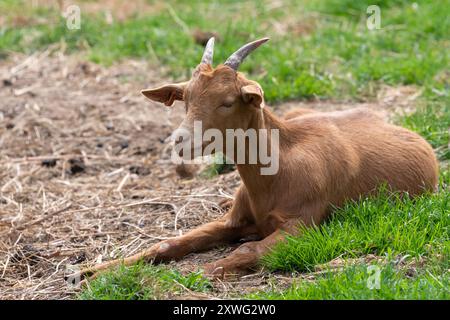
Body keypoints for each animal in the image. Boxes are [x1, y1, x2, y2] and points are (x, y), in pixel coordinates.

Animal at [75, 38, 438, 282]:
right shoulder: (234, 221)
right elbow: (168, 244)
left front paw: (192, 276)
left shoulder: (302, 225)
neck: (275, 174)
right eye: (186, 98)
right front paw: (89, 271)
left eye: (228, 101)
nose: (181, 140)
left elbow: (248, 250)